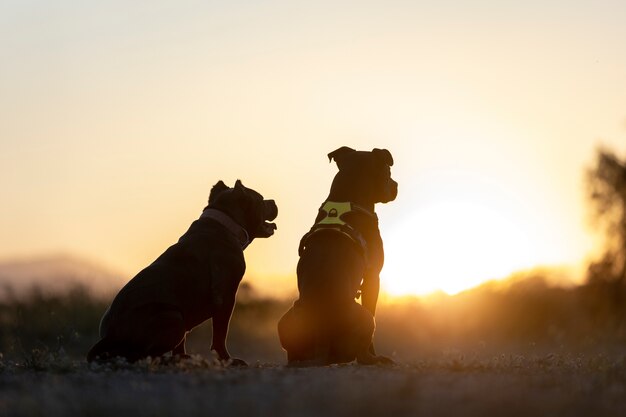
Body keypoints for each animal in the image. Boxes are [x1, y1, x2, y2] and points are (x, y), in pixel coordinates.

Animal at [86, 180, 276, 364]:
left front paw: (181, 355)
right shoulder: (225, 298)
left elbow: (183, 341)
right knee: (140, 355)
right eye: (261, 200)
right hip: (174, 316)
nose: (273, 201)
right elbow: (220, 335)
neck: (225, 223)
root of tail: (110, 336)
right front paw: (227, 359)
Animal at [276, 146, 394, 364]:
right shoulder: (373, 277)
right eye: (387, 171)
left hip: (285, 320)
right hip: (366, 319)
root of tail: (321, 332)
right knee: (362, 352)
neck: (347, 196)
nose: (396, 185)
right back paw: (377, 359)